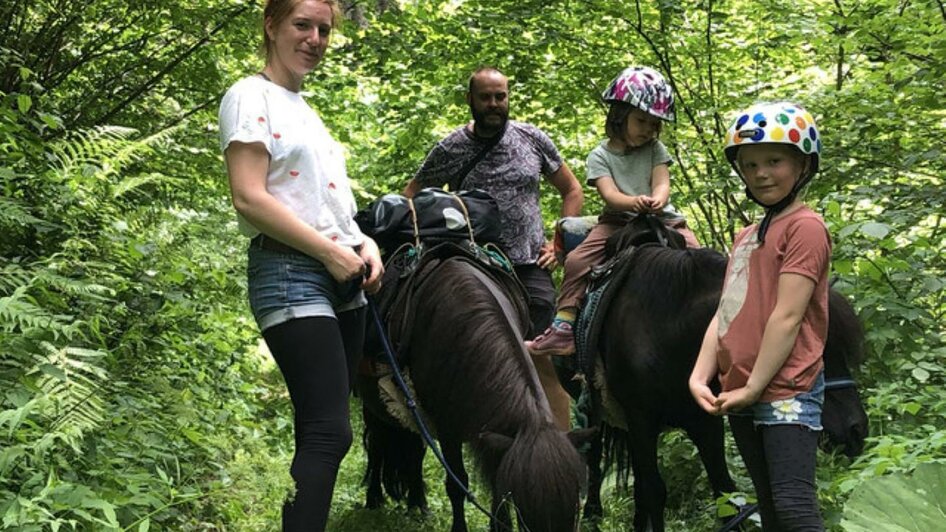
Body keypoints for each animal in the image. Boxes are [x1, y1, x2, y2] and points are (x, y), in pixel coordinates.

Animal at [360, 249, 588, 532]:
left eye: (574, 510)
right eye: (526, 513)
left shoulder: (495, 435)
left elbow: (498, 491)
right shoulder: (448, 428)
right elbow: (456, 483)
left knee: (413, 451)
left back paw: (418, 504)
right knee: (377, 443)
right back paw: (373, 499)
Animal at [572, 215, 868, 532]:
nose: (857, 428)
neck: (666, 327)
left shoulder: (704, 420)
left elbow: (724, 492)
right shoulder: (641, 419)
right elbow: (655, 491)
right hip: (595, 413)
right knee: (595, 459)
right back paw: (591, 514)